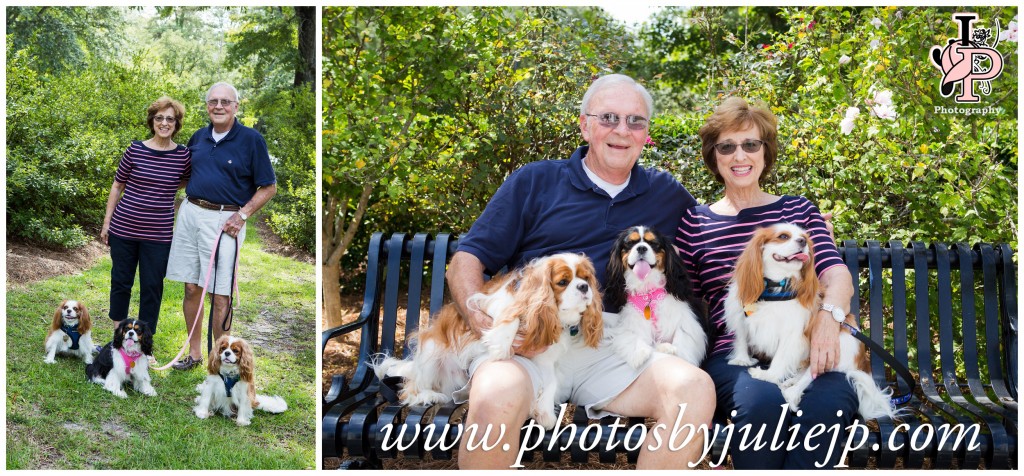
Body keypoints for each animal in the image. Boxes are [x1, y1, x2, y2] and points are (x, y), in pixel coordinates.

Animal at [374, 251, 598, 425]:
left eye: (586, 278)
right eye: (563, 282)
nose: (583, 287)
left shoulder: (546, 358)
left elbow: (550, 384)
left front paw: (545, 413)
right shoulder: (489, 303)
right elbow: (511, 315)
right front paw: (501, 344)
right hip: (430, 354)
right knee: (409, 390)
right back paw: (428, 394)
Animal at [724, 223, 892, 415]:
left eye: (804, 237)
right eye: (783, 236)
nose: (802, 241)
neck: (774, 288)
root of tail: (862, 361)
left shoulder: (791, 334)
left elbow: (781, 357)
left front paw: (769, 376)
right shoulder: (741, 316)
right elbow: (741, 339)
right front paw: (742, 359)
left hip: (832, 347)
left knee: (811, 374)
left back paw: (790, 393)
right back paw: (790, 382)